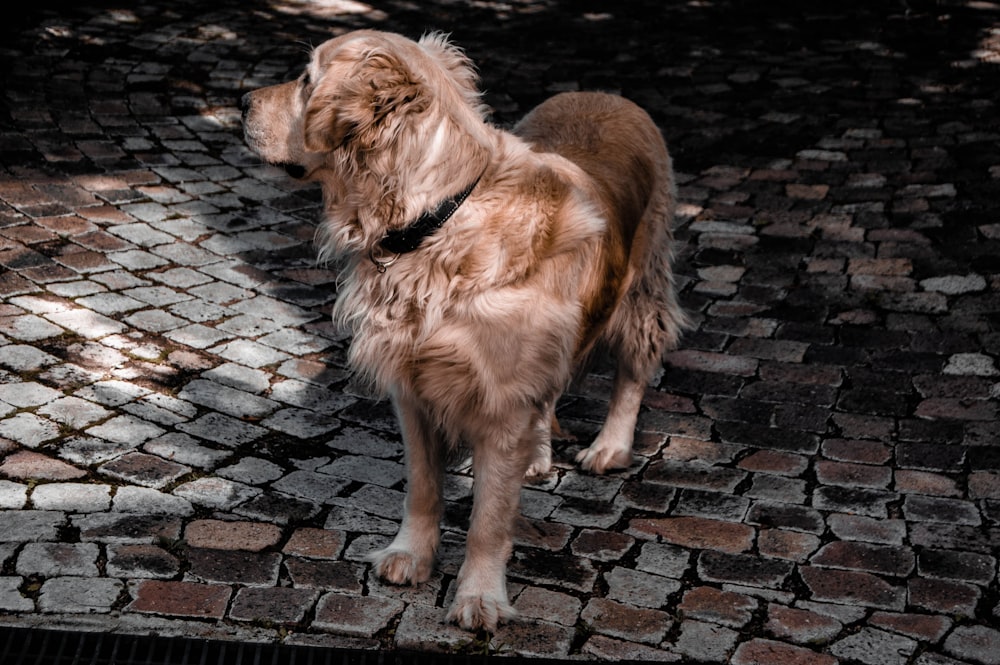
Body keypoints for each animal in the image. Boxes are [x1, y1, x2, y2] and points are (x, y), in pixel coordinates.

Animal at [240, 31, 688, 632]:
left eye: (308, 81)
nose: (241, 101)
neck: (435, 221)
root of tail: (603, 93)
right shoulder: (412, 388)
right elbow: (423, 487)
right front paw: (410, 554)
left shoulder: (502, 397)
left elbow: (488, 519)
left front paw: (479, 596)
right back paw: (539, 453)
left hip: (643, 287)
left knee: (634, 369)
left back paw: (609, 446)